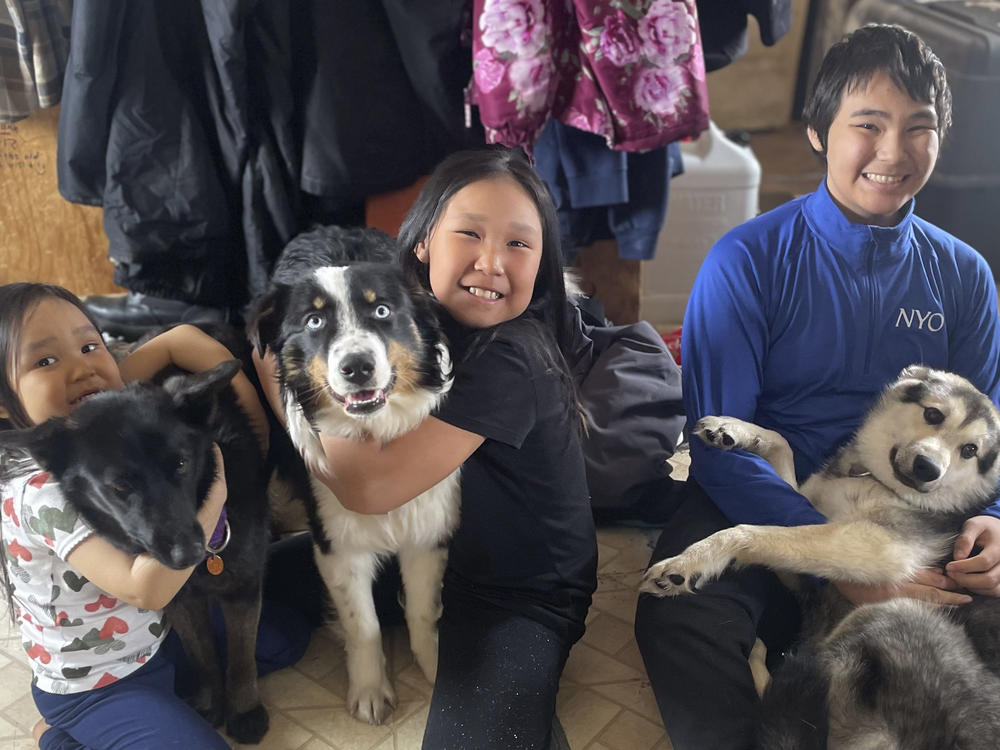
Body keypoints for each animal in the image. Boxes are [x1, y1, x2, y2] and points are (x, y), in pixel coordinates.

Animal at [0, 362, 272, 744]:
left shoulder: (242, 588)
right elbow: (202, 656)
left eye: (182, 464)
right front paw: (209, 703)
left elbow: (242, 658)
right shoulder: (179, 600)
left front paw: (245, 710)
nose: (187, 555)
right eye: (120, 486)